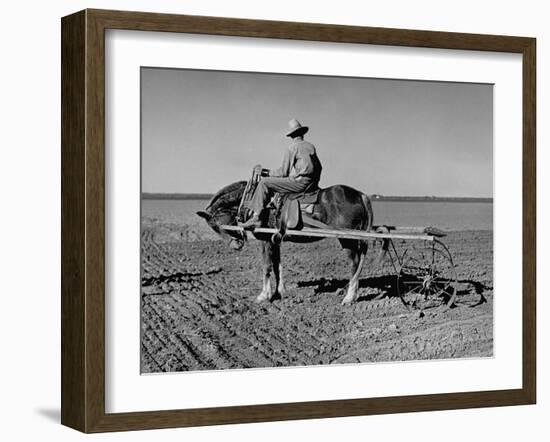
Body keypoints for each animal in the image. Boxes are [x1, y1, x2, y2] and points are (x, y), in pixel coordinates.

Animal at [198, 180, 384, 304]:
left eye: (216, 225)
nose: (235, 245)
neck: (255, 203)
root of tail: (360, 195)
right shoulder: (275, 240)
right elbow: (277, 266)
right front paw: (279, 292)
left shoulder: (265, 240)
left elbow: (266, 266)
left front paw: (264, 296)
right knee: (359, 262)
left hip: (346, 239)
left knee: (354, 263)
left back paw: (349, 297)